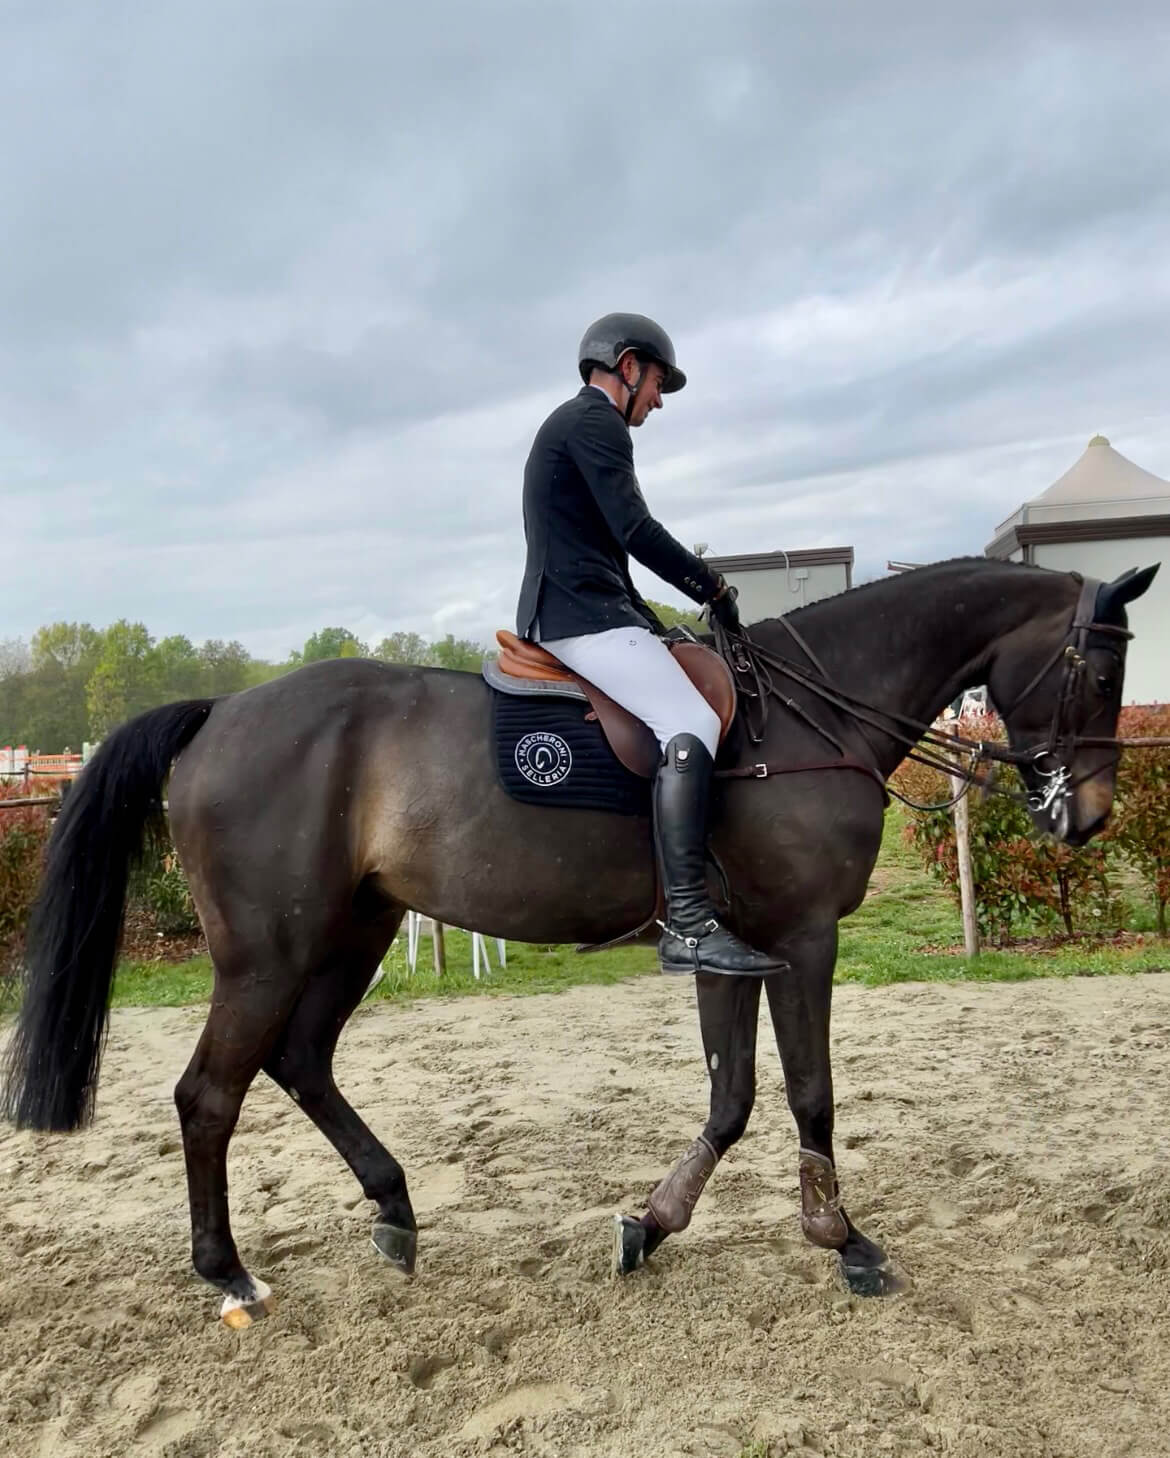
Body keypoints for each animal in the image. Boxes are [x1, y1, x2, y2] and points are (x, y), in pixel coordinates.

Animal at [0, 554, 1149, 1323]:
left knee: (302, 1060)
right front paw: (846, 1243)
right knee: (210, 1095)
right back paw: (229, 1273)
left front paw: (652, 1223)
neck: (807, 715)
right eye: (1100, 678)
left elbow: (732, 1096)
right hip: (266, 955)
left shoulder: (737, 945)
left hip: (354, 931)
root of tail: (219, 714)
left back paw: (394, 1211)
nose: (1087, 817)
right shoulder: (804, 935)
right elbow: (808, 1093)